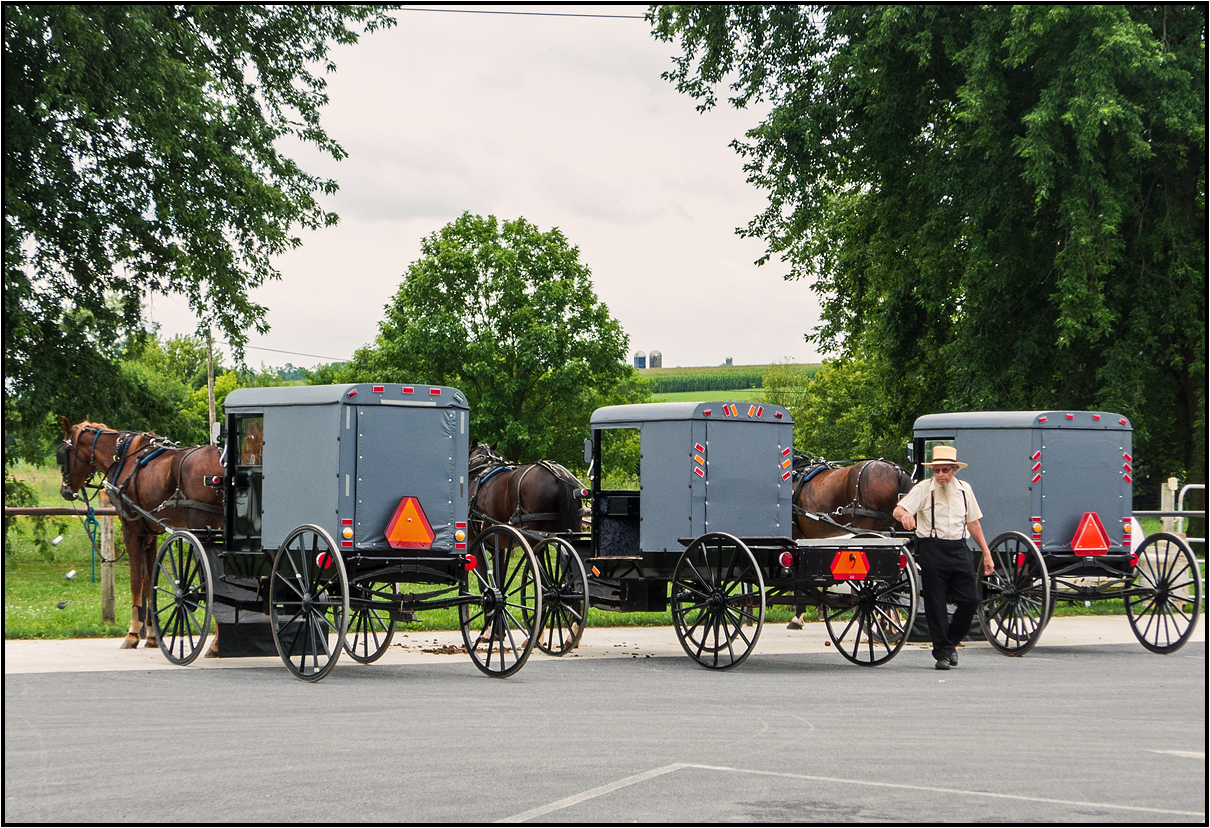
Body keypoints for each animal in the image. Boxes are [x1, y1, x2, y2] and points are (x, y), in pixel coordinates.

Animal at [56, 421, 223, 648]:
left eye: (63, 452)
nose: (65, 490)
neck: (123, 457)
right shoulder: (150, 534)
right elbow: (149, 580)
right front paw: (152, 634)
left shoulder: (132, 530)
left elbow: (136, 581)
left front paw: (133, 633)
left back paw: (215, 643)